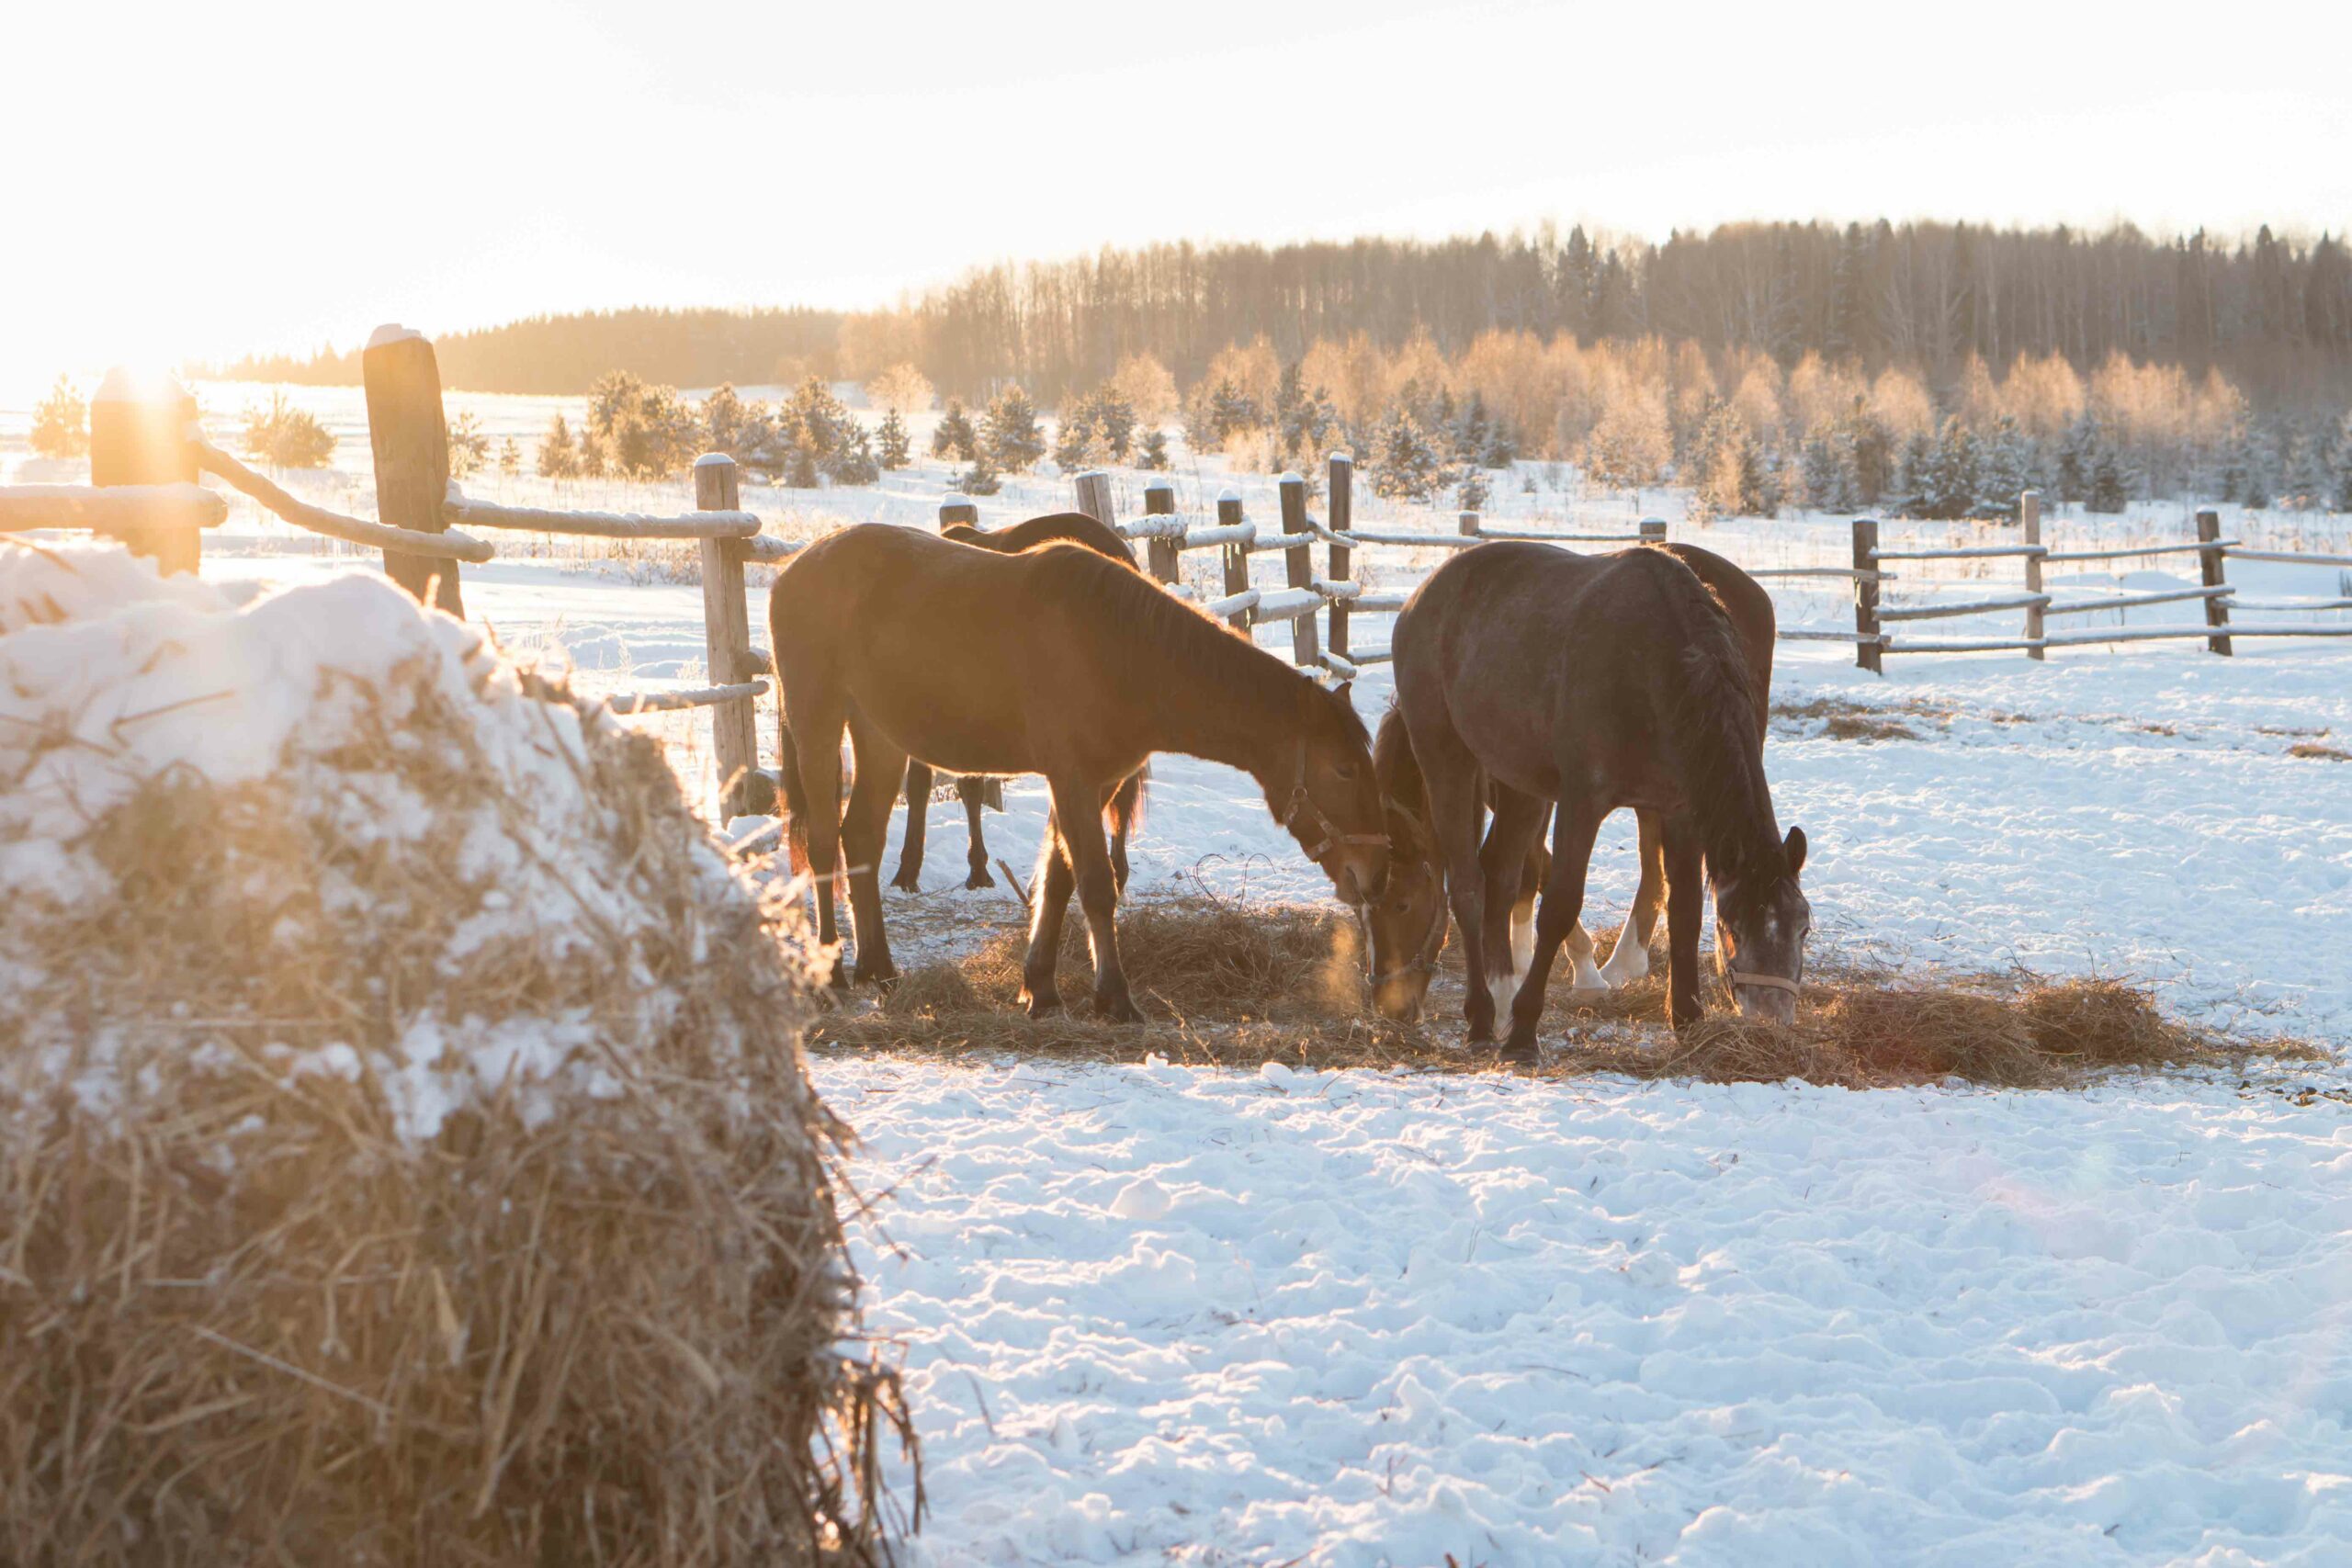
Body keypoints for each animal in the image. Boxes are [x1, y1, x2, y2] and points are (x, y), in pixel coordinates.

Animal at [1364, 541, 1805, 1058]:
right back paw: (1482, 1018)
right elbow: (1559, 905)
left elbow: (1685, 910)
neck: (1652, 663)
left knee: (1503, 873)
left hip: (1519, 783)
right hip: (1446, 757)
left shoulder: (1680, 809)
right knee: (1470, 886)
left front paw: (1688, 1019)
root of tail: (1418, 601)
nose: (1771, 1022)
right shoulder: (1581, 801)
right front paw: (1524, 1031)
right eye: (1733, 927)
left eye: (1803, 927)